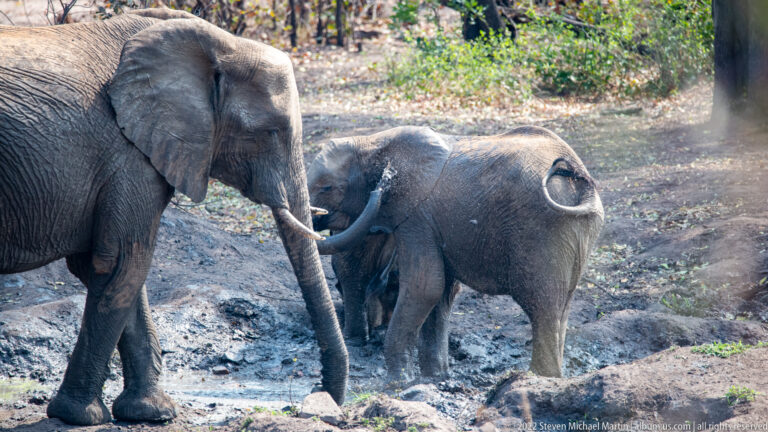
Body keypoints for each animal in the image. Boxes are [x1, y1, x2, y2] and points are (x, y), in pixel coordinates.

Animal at [0, 8, 346, 425]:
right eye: (270, 132)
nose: (321, 400)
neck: (218, 44)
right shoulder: (128, 153)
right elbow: (120, 264)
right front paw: (81, 416)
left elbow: (116, 271)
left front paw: (150, 412)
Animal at [307, 125, 604, 383]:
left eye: (326, 188)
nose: (383, 183)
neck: (373, 143)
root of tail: (580, 178)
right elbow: (441, 292)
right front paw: (434, 377)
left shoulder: (415, 214)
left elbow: (424, 286)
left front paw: (395, 383)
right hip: (575, 231)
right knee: (559, 308)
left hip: (542, 231)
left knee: (541, 305)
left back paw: (539, 378)